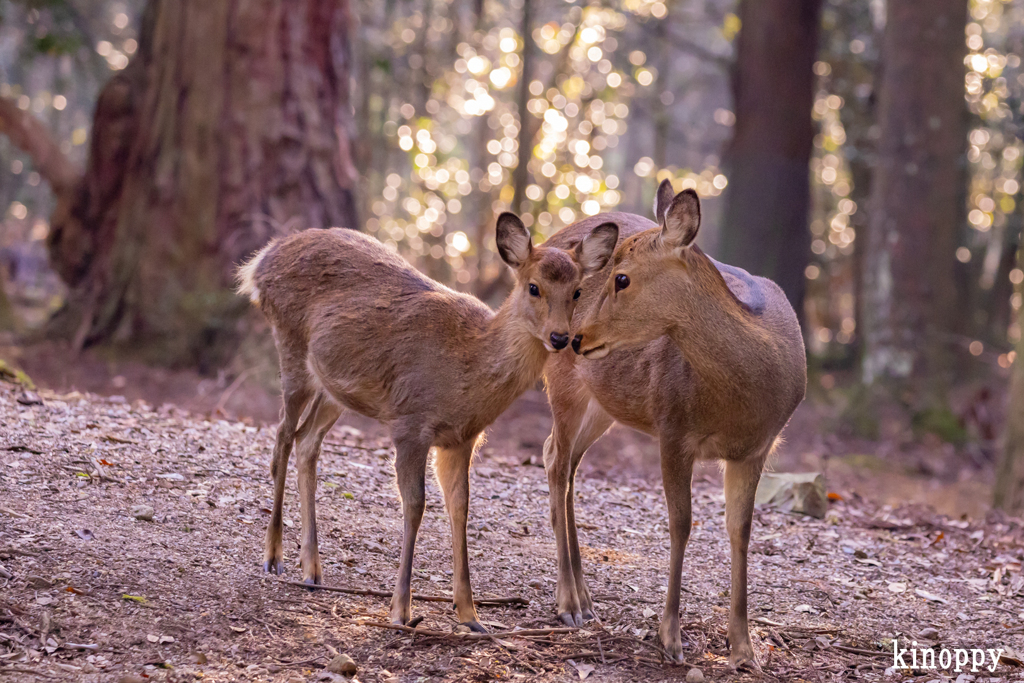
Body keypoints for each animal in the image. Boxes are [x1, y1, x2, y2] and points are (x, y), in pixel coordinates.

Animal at [237, 218, 614, 630]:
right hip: (290, 345)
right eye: (533, 286)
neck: (469, 366)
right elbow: (416, 504)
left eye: (577, 291)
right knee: (282, 438)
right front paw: (401, 610)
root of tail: (262, 259)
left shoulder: (462, 439)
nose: (560, 337)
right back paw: (274, 556)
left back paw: (312, 569)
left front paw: (470, 614)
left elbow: (460, 507)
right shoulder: (410, 423)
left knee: (307, 440)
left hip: (333, 388)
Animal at [540, 180, 802, 667]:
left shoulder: (757, 448)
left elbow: (741, 531)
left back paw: (585, 596)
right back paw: (568, 602)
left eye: (622, 277)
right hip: (564, 383)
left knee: (562, 461)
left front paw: (744, 649)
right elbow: (681, 524)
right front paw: (671, 637)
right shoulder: (673, 427)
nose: (577, 337)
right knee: (557, 464)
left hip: (605, 404)